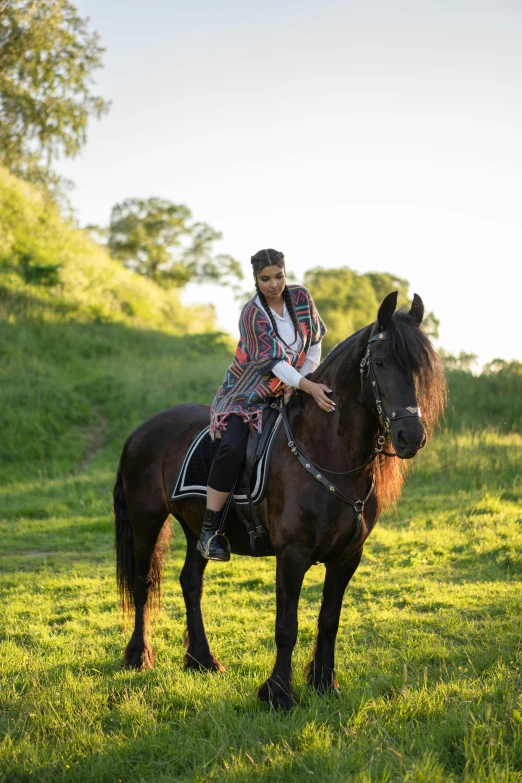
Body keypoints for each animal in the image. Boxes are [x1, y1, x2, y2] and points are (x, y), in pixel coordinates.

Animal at [112, 292, 442, 712]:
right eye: (380, 362)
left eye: (420, 369)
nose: (411, 436)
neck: (325, 452)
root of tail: (141, 430)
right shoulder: (292, 554)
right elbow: (286, 625)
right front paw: (279, 693)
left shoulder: (347, 557)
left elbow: (329, 620)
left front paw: (324, 683)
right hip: (146, 519)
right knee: (142, 583)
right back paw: (138, 655)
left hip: (195, 526)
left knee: (190, 582)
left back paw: (201, 659)